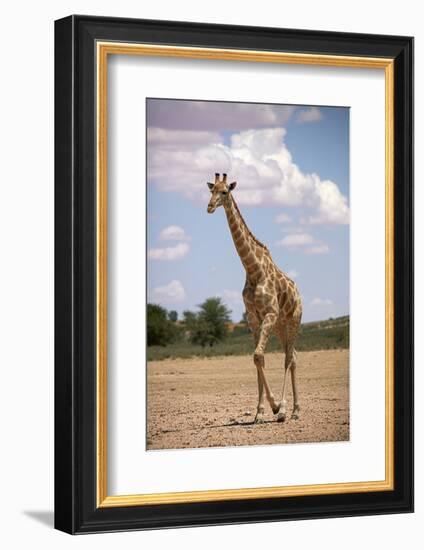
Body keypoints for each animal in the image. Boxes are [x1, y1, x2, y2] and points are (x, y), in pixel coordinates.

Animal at [207, 175, 304, 424]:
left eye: (225, 192)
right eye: (211, 191)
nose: (209, 207)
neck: (253, 270)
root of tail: (298, 292)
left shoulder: (269, 313)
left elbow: (259, 355)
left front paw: (276, 407)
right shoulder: (253, 318)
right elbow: (258, 359)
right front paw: (260, 412)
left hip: (293, 321)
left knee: (289, 358)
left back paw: (289, 409)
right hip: (280, 326)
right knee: (294, 356)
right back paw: (295, 410)